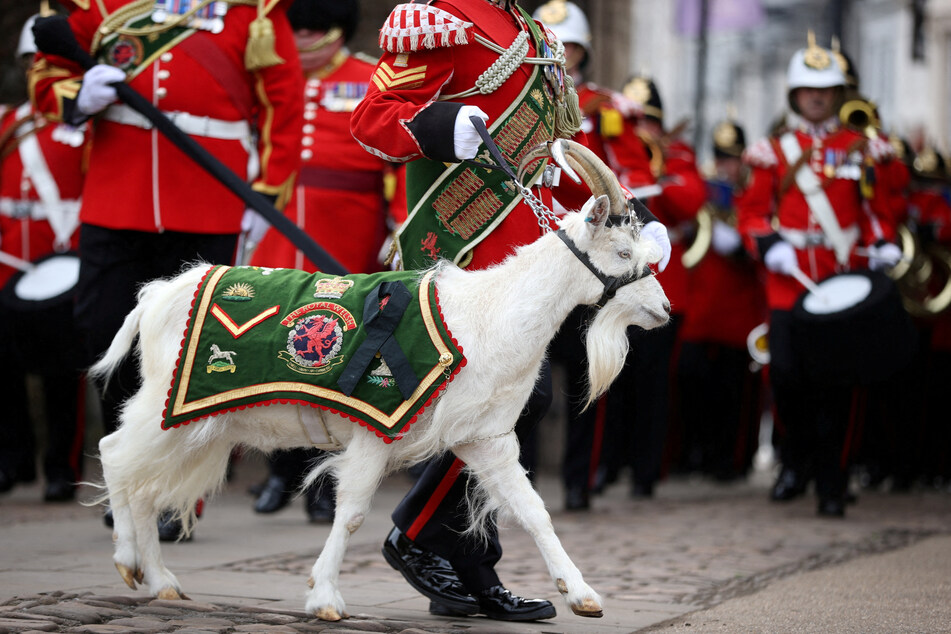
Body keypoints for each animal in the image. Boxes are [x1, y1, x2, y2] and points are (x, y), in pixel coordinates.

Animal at [87, 141, 668, 620]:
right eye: (622, 253)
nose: (663, 310)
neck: (486, 314)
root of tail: (156, 295)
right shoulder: (375, 423)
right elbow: (351, 514)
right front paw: (324, 598)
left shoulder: (485, 437)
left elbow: (534, 511)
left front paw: (582, 595)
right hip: (167, 404)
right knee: (115, 453)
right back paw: (127, 561)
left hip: (200, 421)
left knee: (145, 486)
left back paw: (160, 580)